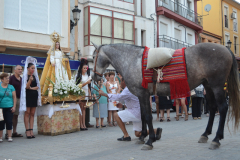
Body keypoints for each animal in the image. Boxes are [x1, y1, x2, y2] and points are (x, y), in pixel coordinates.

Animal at [91, 42, 239, 150]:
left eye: (93, 58)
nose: (94, 77)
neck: (133, 60)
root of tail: (225, 48)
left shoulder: (143, 93)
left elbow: (147, 116)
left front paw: (150, 140)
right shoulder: (142, 95)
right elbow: (143, 115)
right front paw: (143, 136)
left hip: (217, 86)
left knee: (223, 108)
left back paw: (216, 139)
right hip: (208, 86)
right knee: (213, 108)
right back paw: (205, 134)